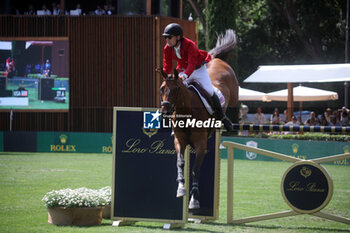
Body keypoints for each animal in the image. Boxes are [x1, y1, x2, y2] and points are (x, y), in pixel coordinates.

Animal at [159, 29, 239, 209]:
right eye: (162, 89)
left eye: (176, 89)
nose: (165, 111)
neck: (186, 111)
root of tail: (214, 58)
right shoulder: (180, 140)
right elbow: (180, 162)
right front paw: (181, 188)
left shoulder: (201, 144)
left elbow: (196, 169)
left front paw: (194, 200)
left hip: (234, 93)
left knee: (233, 101)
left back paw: (229, 122)